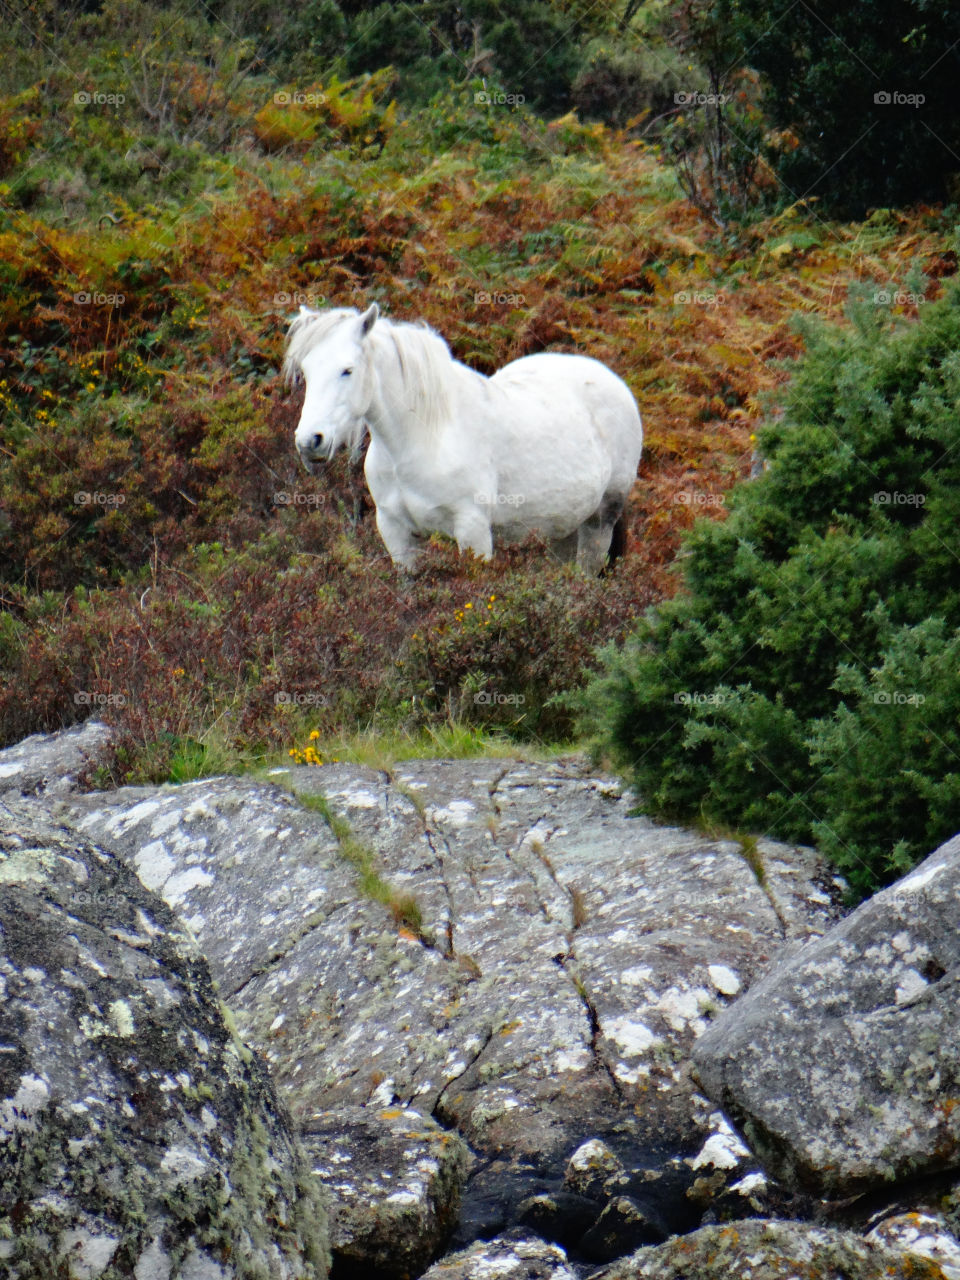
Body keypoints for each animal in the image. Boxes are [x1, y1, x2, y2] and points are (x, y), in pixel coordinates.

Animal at [285, 302, 647, 573]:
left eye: (347, 370)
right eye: (306, 371)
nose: (309, 441)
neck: (424, 440)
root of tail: (610, 378)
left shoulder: (473, 533)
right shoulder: (398, 535)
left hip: (599, 522)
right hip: (562, 529)